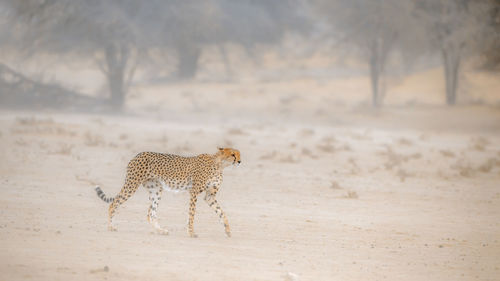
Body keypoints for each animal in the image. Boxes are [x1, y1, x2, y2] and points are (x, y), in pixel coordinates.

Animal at [95, 147, 242, 236]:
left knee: (150, 214)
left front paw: (227, 230)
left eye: (239, 154)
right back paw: (111, 227)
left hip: (156, 190)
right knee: (114, 203)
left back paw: (161, 231)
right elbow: (192, 214)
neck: (220, 165)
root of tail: (138, 154)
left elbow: (221, 212)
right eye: (232, 154)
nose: (240, 161)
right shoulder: (194, 192)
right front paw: (191, 232)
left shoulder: (209, 196)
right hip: (132, 184)